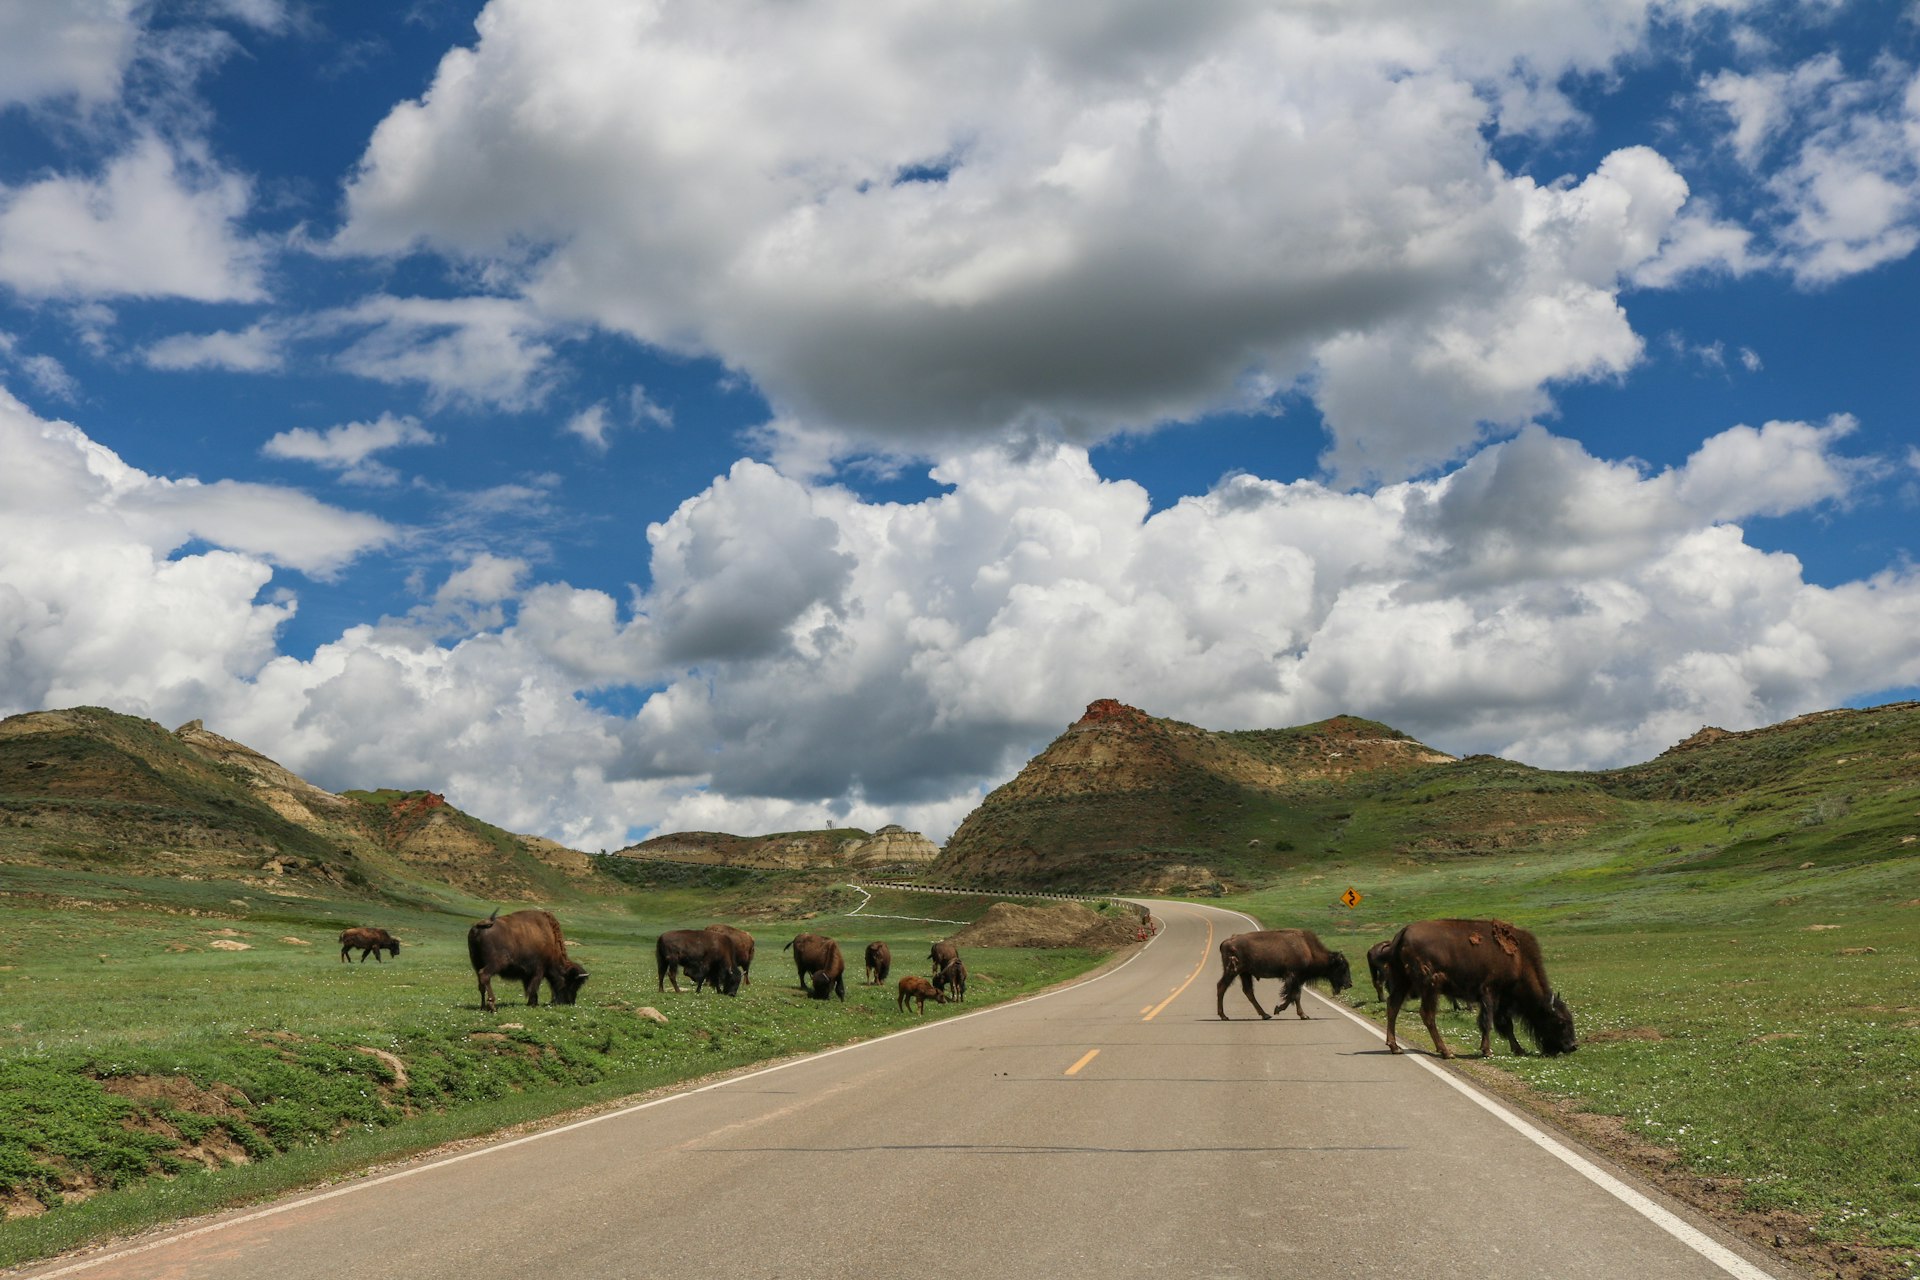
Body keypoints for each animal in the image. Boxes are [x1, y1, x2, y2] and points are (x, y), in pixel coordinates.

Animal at [1213, 932, 1351, 1020]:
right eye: (1342, 967)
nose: (1349, 984)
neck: (1308, 950)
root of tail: (1225, 942)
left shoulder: (1297, 980)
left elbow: (1296, 996)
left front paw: (1303, 1015)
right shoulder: (1293, 977)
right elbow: (1293, 996)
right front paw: (1279, 1009)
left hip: (1245, 973)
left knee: (1248, 991)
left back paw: (1265, 1015)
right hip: (1232, 971)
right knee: (1221, 986)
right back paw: (1224, 1016)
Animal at [1390, 921, 1582, 1059]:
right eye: (1561, 1022)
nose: (1573, 1046)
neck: (1519, 960)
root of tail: (1403, 933)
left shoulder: (1503, 1001)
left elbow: (1507, 1025)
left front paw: (1519, 1049)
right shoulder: (1490, 993)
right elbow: (1488, 1022)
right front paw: (1487, 1051)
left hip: (1402, 983)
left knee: (1393, 1008)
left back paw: (1395, 1047)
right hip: (1430, 987)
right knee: (1427, 1015)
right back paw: (1446, 1052)